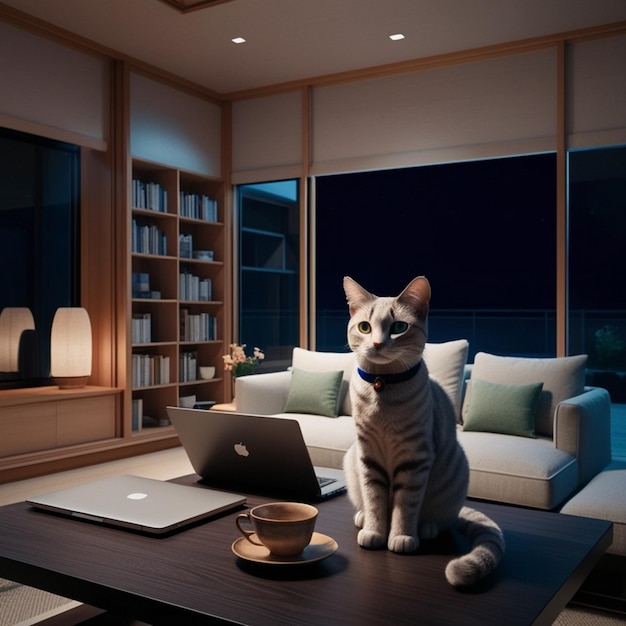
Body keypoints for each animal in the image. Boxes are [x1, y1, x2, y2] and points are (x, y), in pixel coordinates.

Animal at [338, 274, 504, 584]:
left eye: (398, 328)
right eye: (365, 327)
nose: (377, 343)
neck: (382, 385)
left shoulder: (414, 460)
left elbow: (405, 506)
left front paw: (400, 537)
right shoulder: (368, 456)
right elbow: (375, 500)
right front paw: (375, 530)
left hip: (455, 471)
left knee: (441, 519)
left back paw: (425, 528)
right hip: (351, 461)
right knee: (365, 503)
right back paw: (362, 518)